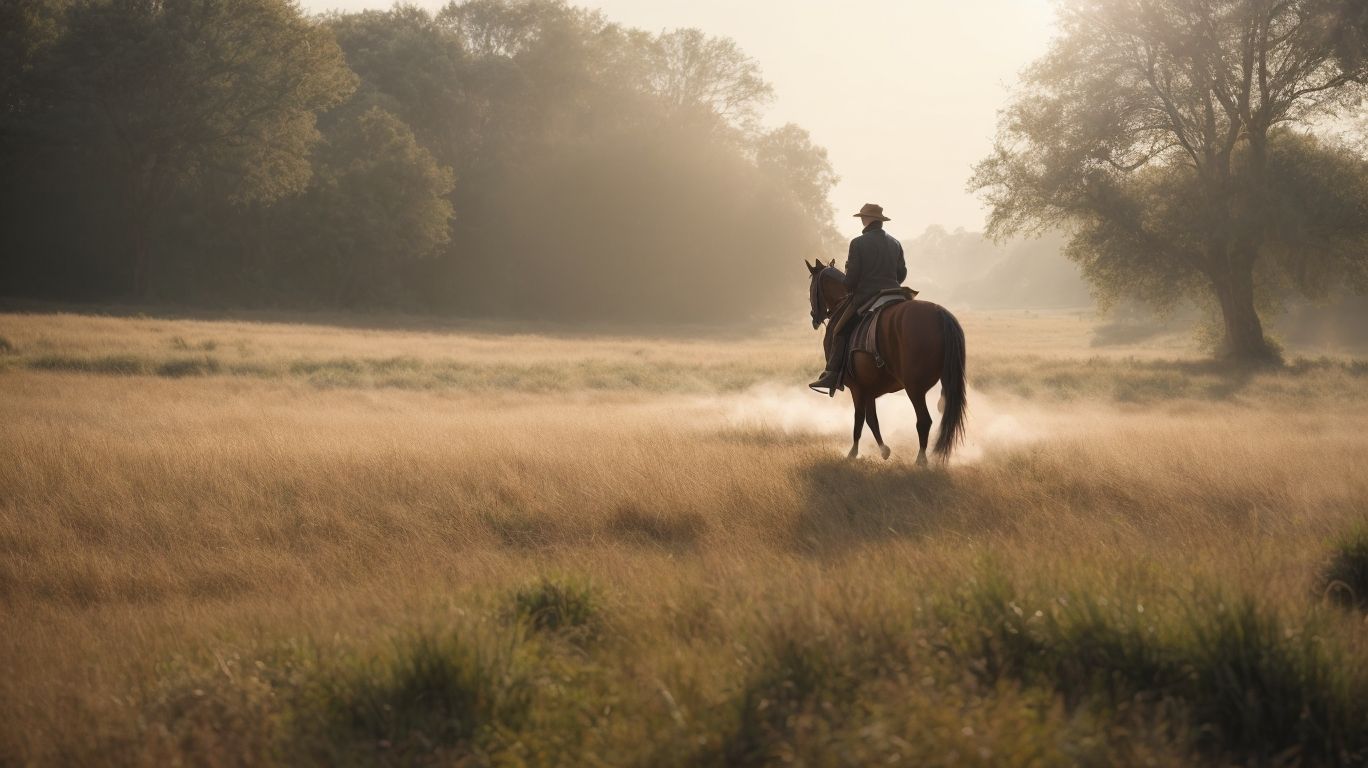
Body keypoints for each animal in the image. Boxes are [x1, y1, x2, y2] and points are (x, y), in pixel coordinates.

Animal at [805, 259, 968, 464]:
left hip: (914, 388)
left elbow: (860, 419)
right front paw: (884, 450)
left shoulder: (857, 387)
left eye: (812, 287)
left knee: (924, 421)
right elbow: (871, 419)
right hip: (943, 382)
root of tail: (939, 313)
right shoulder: (868, 388)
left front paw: (853, 453)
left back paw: (921, 461)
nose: (814, 318)